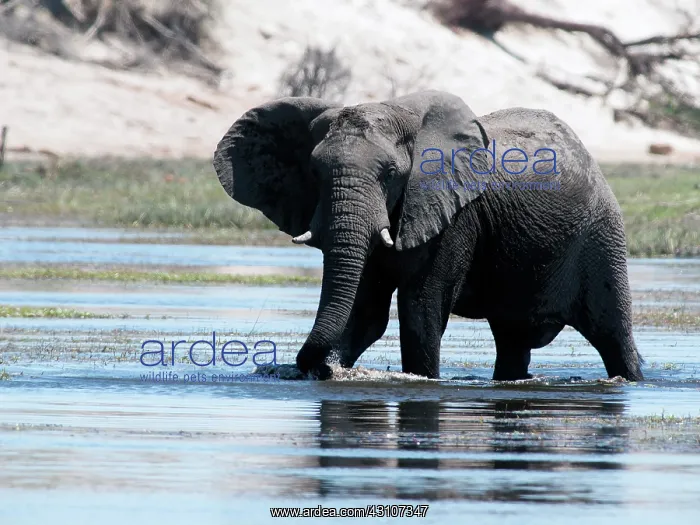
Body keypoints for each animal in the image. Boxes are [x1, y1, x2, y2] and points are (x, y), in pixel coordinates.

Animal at [213, 90, 644, 382]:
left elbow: (421, 311)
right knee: (512, 342)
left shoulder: (454, 214)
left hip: (601, 235)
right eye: (315, 172)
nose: (307, 367)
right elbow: (363, 313)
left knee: (612, 335)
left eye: (390, 174)